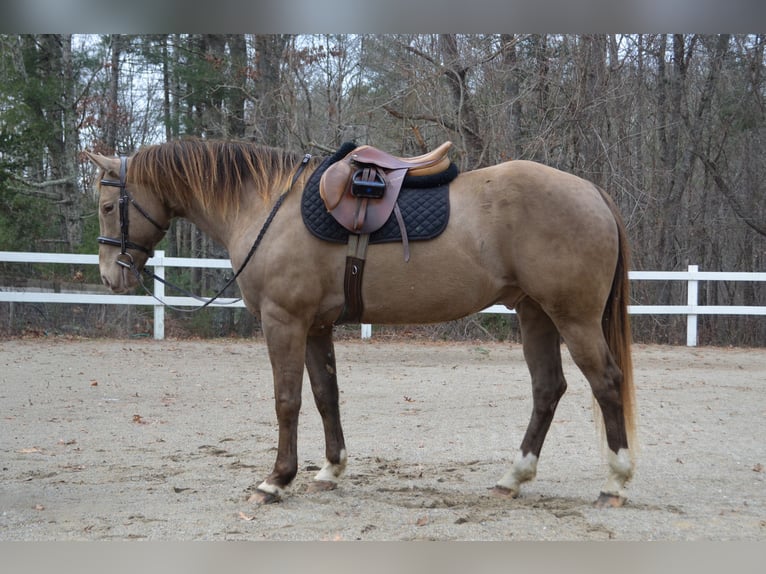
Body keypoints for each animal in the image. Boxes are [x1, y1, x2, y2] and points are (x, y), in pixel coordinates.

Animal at [86, 138, 636, 508]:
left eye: (109, 206)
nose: (112, 275)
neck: (268, 207)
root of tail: (592, 191)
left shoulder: (284, 321)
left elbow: (287, 401)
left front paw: (276, 480)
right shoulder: (315, 327)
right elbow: (325, 395)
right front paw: (331, 469)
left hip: (573, 317)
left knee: (605, 383)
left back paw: (615, 481)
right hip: (535, 313)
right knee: (548, 388)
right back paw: (514, 478)